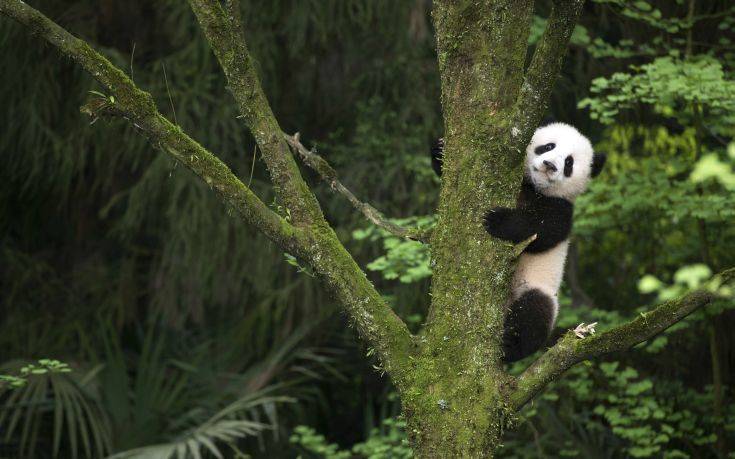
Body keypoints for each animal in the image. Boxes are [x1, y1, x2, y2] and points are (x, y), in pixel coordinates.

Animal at [432, 122, 604, 362]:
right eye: (548, 146)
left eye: (569, 163)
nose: (550, 165)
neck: (534, 188)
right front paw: (440, 149)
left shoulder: (562, 209)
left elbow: (542, 230)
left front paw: (497, 220)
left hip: (537, 289)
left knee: (534, 314)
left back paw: (510, 345)